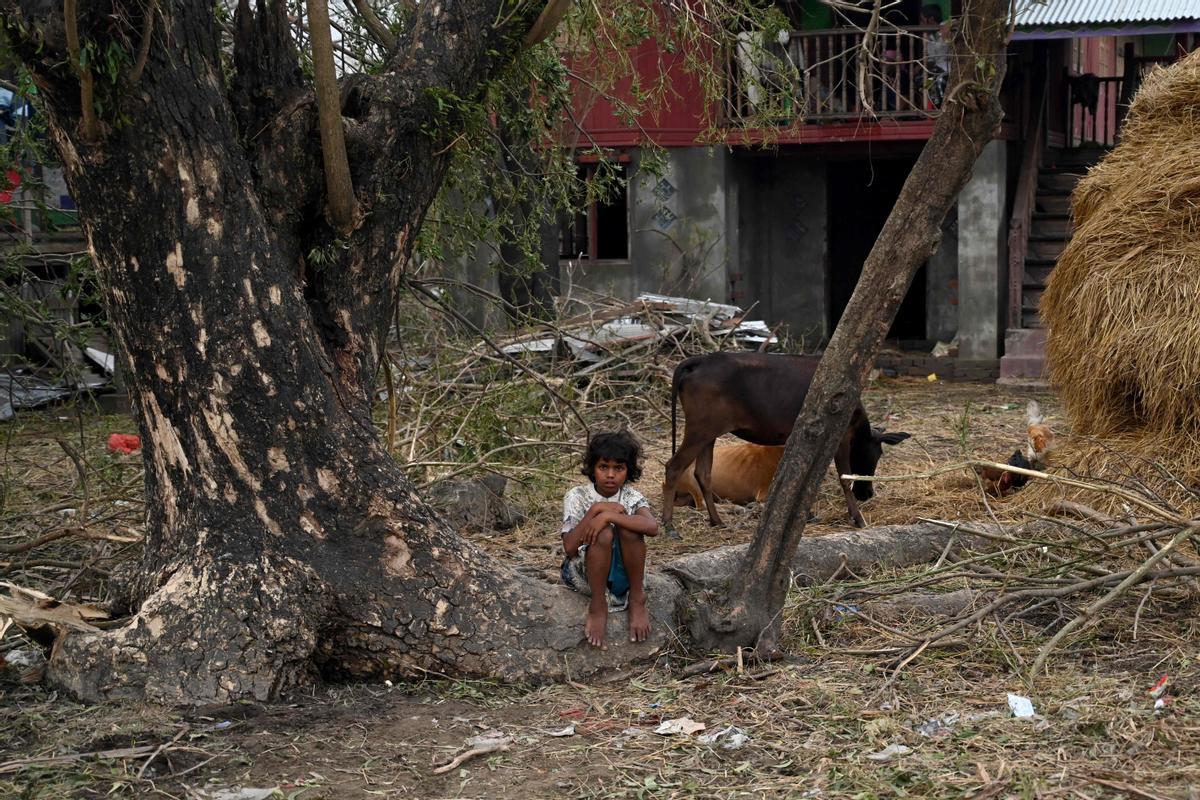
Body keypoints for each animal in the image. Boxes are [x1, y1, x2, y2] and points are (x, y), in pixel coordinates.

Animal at [662, 352, 902, 534]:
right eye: (876, 454)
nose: (868, 494)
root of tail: (700, 360)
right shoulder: (840, 436)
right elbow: (843, 479)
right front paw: (857, 518)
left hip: (709, 433)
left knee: (702, 473)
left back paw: (717, 521)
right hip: (700, 429)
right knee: (673, 466)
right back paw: (669, 525)